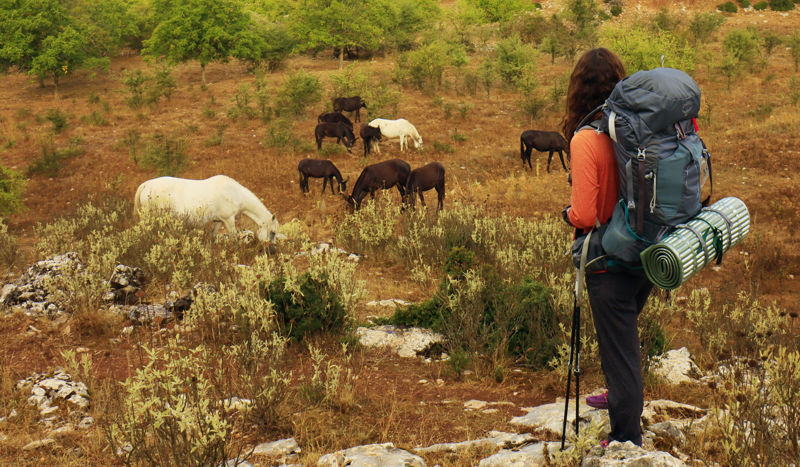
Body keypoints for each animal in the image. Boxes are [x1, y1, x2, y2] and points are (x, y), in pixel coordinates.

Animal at [132, 175, 282, 241]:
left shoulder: (218, 220)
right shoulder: (229, 220)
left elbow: (213, 237)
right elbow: (233, 239)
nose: (272, 251)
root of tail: (146, 185)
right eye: (273, 232)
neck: (234, 193)